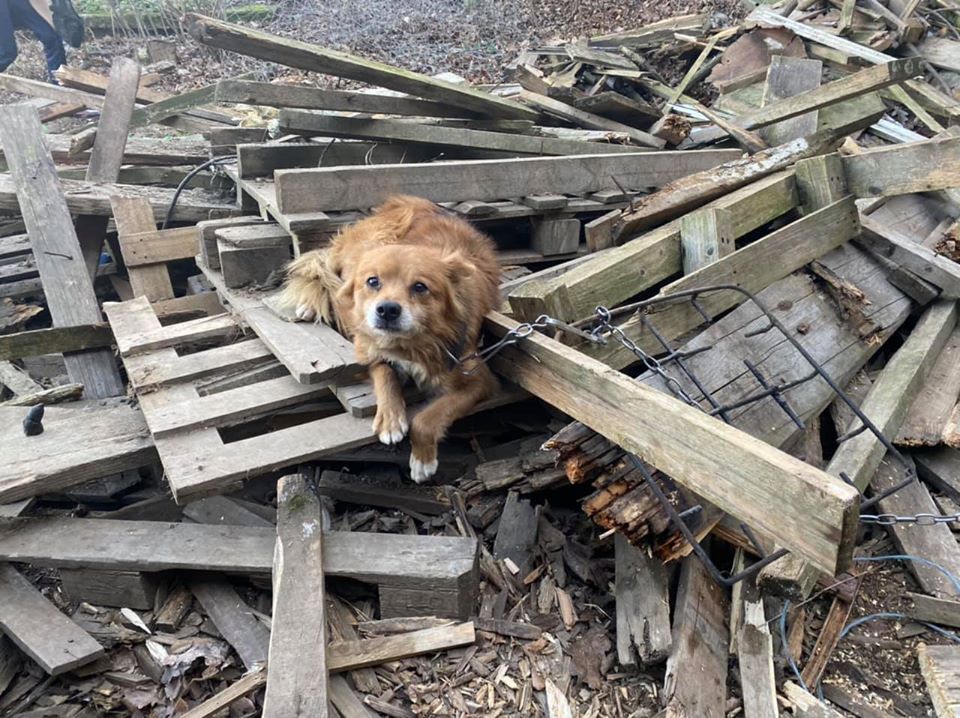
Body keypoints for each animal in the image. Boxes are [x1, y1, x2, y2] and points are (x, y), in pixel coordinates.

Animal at [280, 195, 498, 484]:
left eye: (420, 287)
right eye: (373, 282)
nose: (387, 310)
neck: (412, 344)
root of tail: (396, 203)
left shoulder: (479, 380)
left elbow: (427, 418)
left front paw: (422, 460)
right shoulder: (366, 347)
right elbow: (384, 371)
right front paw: (391, 419)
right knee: (327, 271)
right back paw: (309, 306)